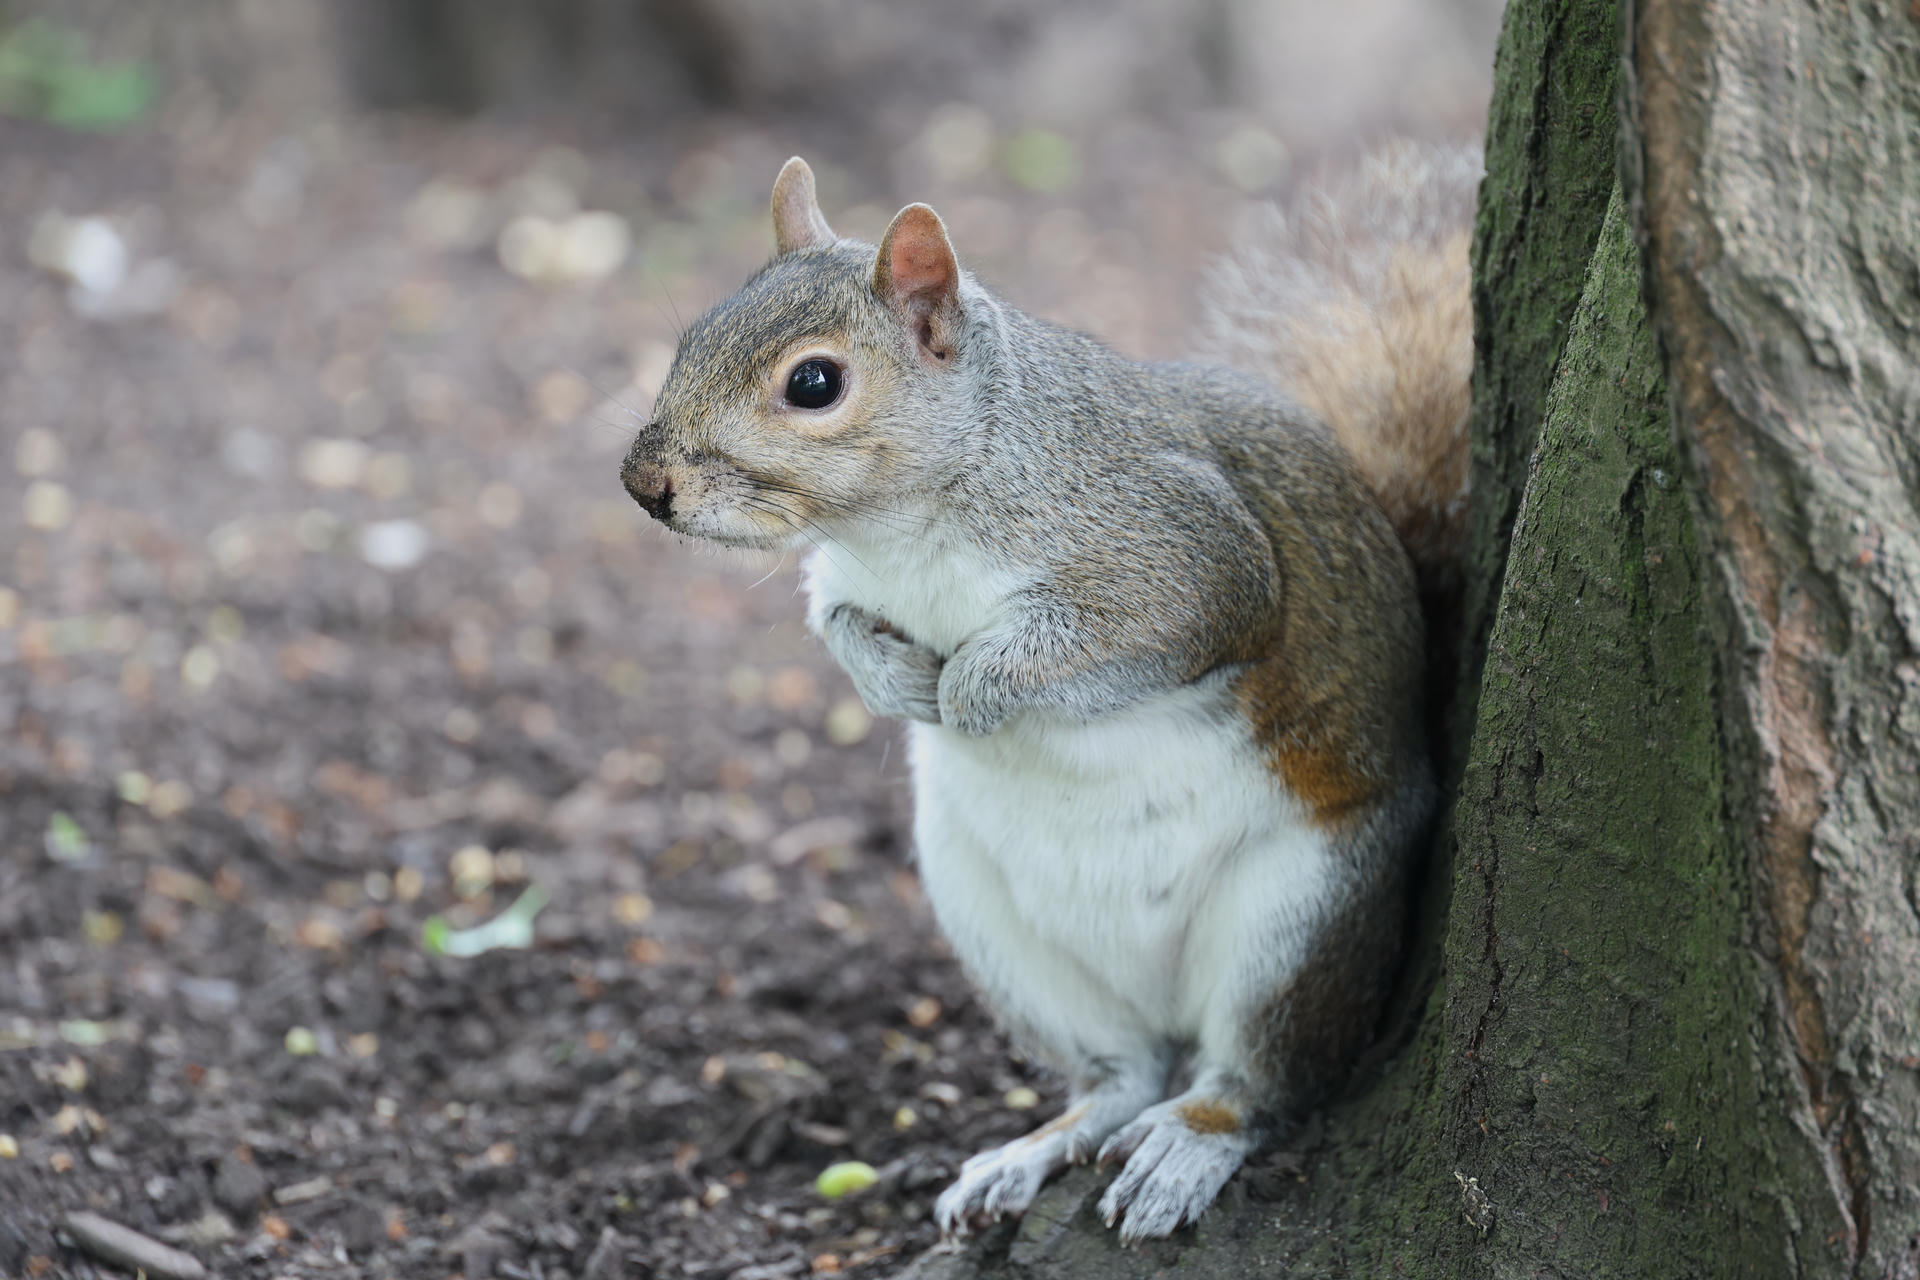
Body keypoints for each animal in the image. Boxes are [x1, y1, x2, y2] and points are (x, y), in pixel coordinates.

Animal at [620, 143, 1477, 1242]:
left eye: (814, 382)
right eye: (694, 332)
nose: (642, 483)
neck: (910, 523)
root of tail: (1165, 999)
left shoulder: (1180, 553)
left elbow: (1135, 625)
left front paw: (972, 694)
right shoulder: (852, 577)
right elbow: (837, 620)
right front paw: (895, 682)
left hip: (1299, 919)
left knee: (1261, 1079)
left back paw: (1184, 1144)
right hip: (1004, 936)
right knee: (1122, 1072)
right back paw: (1031, 1150)